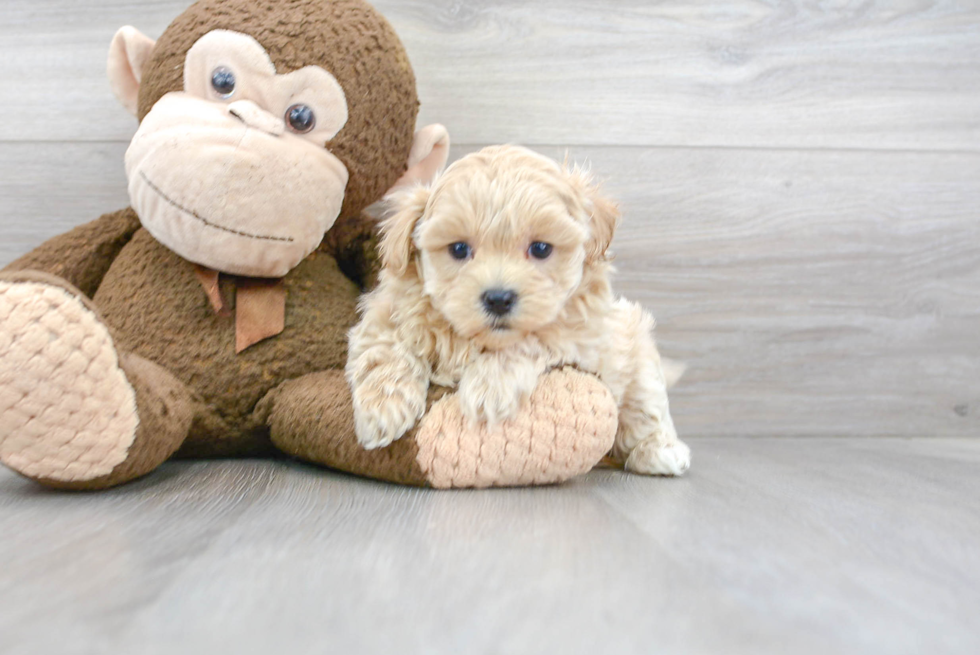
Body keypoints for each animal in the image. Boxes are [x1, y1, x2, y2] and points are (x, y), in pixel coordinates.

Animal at [344, 145, 688, 476]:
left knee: (646, 412)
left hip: (637, 356)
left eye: (541, 248)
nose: (498, 298)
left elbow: (531, 340)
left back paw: (661, 452)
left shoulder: (580, 334)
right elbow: (385, 349)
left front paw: (489, 387)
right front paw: (382, 409)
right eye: (459, 249)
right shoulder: (386, 312)